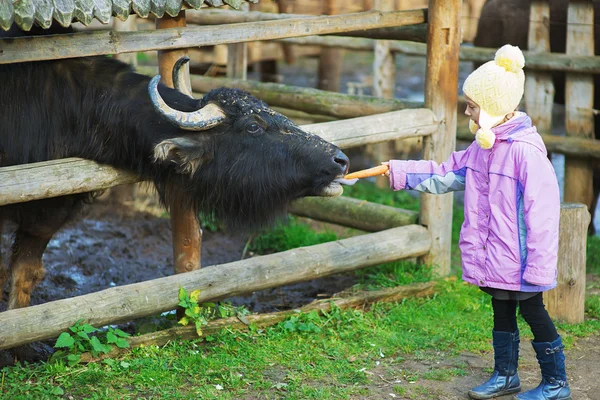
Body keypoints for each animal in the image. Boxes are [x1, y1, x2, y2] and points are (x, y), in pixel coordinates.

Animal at [0, 24, 354, 312]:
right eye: (253, 125)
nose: (340, 159)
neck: (75, 106)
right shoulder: (40, 209)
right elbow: (21, 272)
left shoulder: (47, 213)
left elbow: (24, 271)